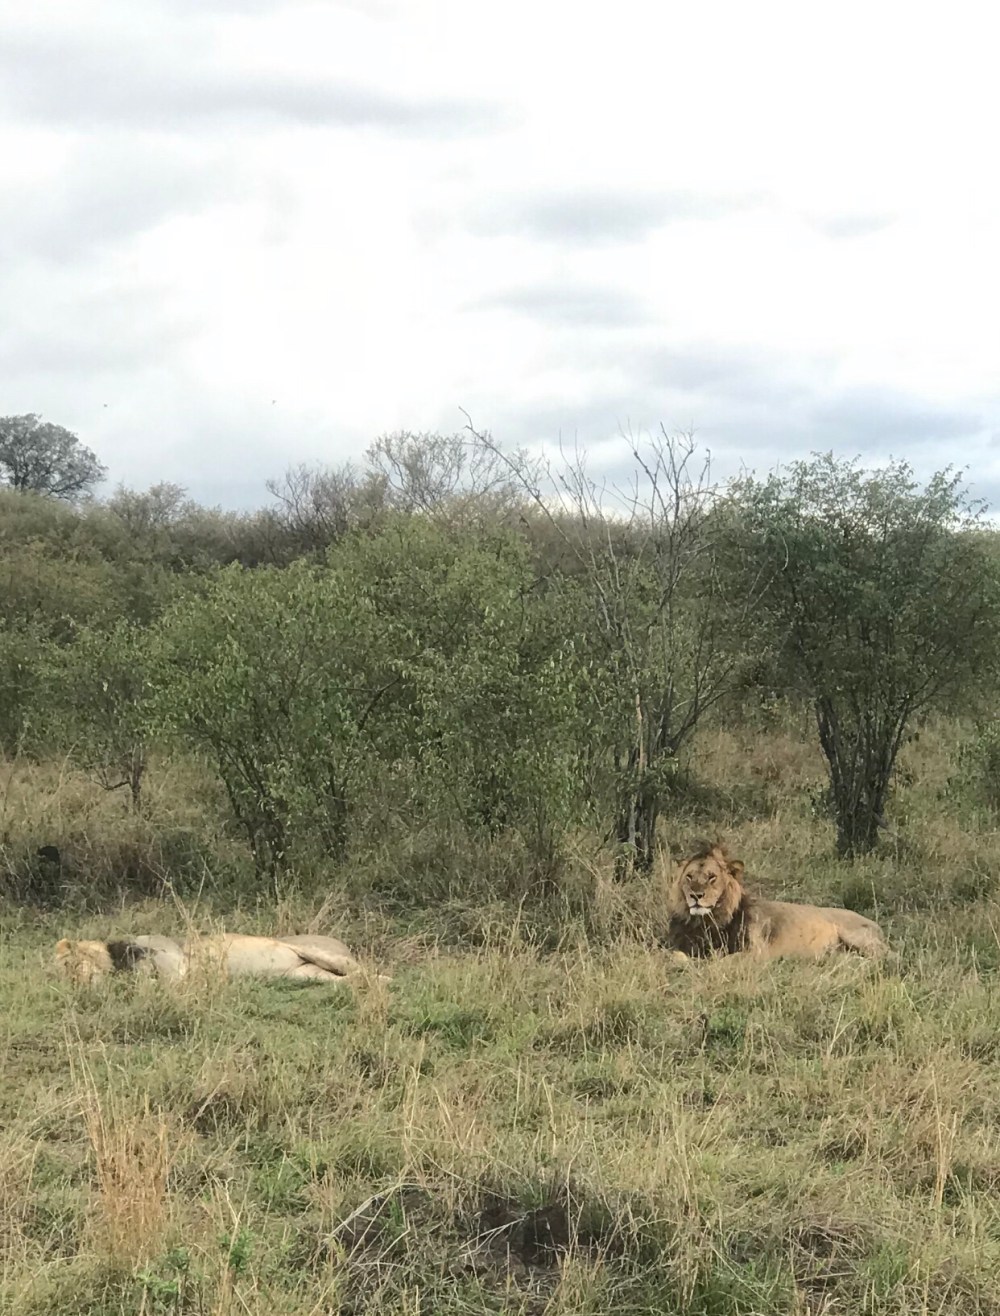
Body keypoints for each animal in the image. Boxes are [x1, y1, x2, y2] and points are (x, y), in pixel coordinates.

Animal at [666, 843, 887, 960]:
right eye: (689, 877)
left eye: (712, 877)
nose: (696, 896)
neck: (705, 921)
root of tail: (878, 926)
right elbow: (675, 956)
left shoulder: (756, 952)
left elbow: (721, 960)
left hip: (857, 936)